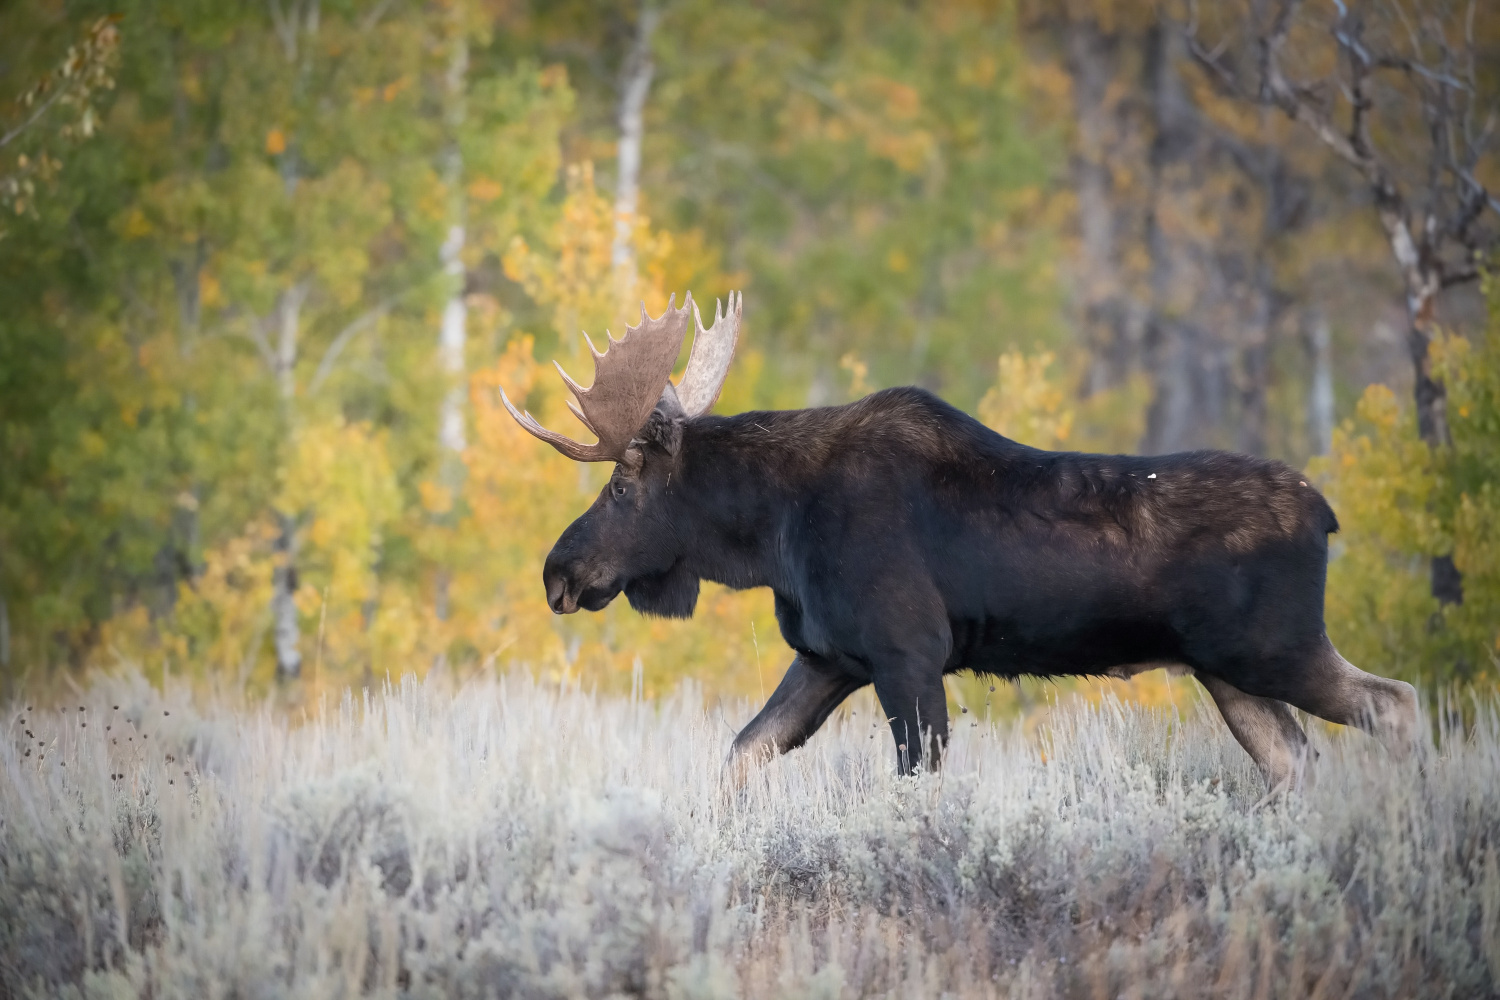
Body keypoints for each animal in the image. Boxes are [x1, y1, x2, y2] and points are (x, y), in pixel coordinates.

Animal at [504, 289, 1416, 791]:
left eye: (622, 487)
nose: (558, 572)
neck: (772, 532)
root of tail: (1327, 514)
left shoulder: (909, 651)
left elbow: (916, 783)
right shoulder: (831, 657)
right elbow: (740, 755)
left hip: (1274, 648)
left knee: (1395, 703)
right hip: (1228, 672)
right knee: (1295, 760)